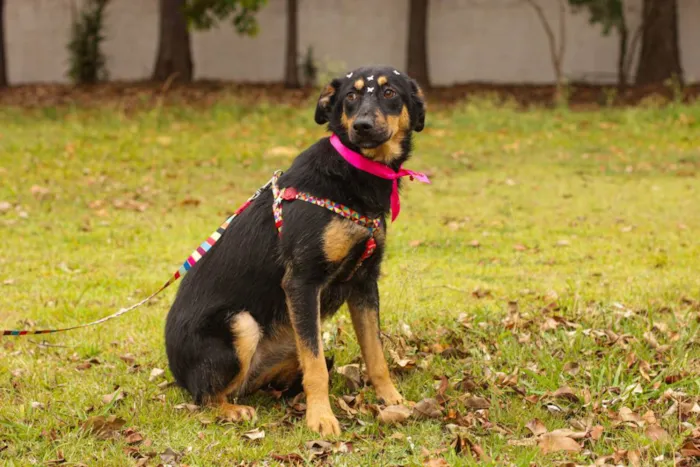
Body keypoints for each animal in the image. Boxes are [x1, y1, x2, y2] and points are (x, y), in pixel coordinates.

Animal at [164, 64, 426, 436]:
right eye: (351, 96)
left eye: (390, 92)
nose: (362, 125)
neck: (355, 171)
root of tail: (177, 372)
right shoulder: (302, 282)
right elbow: (316, 367)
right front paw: (321, 418)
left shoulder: (364, 283)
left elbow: (375, 355)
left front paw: (392, 400)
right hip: (241, 324)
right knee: (205, 396)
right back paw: (233, 410)